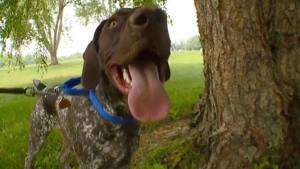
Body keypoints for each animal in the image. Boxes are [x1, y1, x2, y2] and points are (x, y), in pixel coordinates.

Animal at [24, 6, 171, 169]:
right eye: (113, 23)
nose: (153, 17)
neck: (117, 116)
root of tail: (43, 89)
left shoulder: (124, 161)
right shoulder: (90, 163)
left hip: (68, 137)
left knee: (61, 157)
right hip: (37, 137)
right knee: (28, 158)